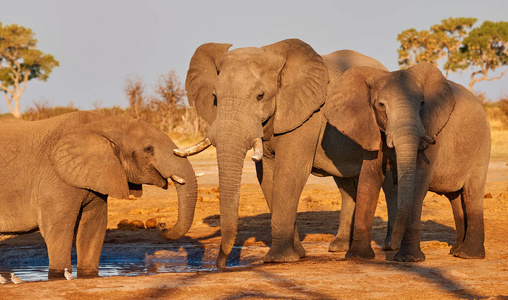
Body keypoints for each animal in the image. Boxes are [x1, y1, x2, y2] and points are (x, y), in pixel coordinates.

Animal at [0, 111, 198, 280]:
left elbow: (93, 227)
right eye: (148, 149)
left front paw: (88, 276)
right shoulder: (55, 177)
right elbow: (58, 229)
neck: (104, 122)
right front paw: (58, 277)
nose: (161, 225)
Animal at [173, 38, 390, 268]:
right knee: (345, 184)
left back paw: (388, 247)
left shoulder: (308, 114)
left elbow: (289, 172)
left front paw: (280, 259)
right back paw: (338, 247)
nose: (221, 264)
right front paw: (298, 254)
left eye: (260, 96)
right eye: (215, 97)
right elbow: (267, 176)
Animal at [324, 62, 490, 262]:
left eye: (422, 104)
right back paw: (456, 251)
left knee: (472, 193)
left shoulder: (431, 131)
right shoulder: (371, 128)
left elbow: (417, 183)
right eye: (381, 105)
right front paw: (358, 257)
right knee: (456, 198)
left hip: (482, 147)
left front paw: (409, 259)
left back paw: (468, 255)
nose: (389, 246)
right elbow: (369, 178)